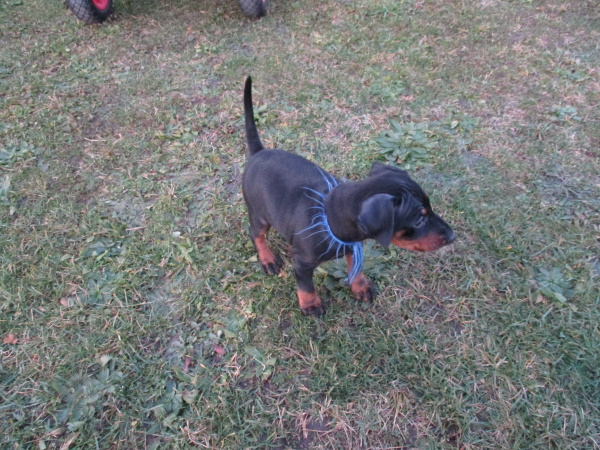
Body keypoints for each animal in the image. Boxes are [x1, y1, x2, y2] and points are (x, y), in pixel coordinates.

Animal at [242, 76, 455, 316]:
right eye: (419, 219)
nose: (452, 236)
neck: (328, 218)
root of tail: (259, 152)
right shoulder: (302, 263)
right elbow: (306, 285)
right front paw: (311, 304)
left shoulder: (354, 244)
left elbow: (356, 265)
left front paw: (360, 286)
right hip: (258, 214)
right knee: (256, 234)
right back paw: (267, 259)